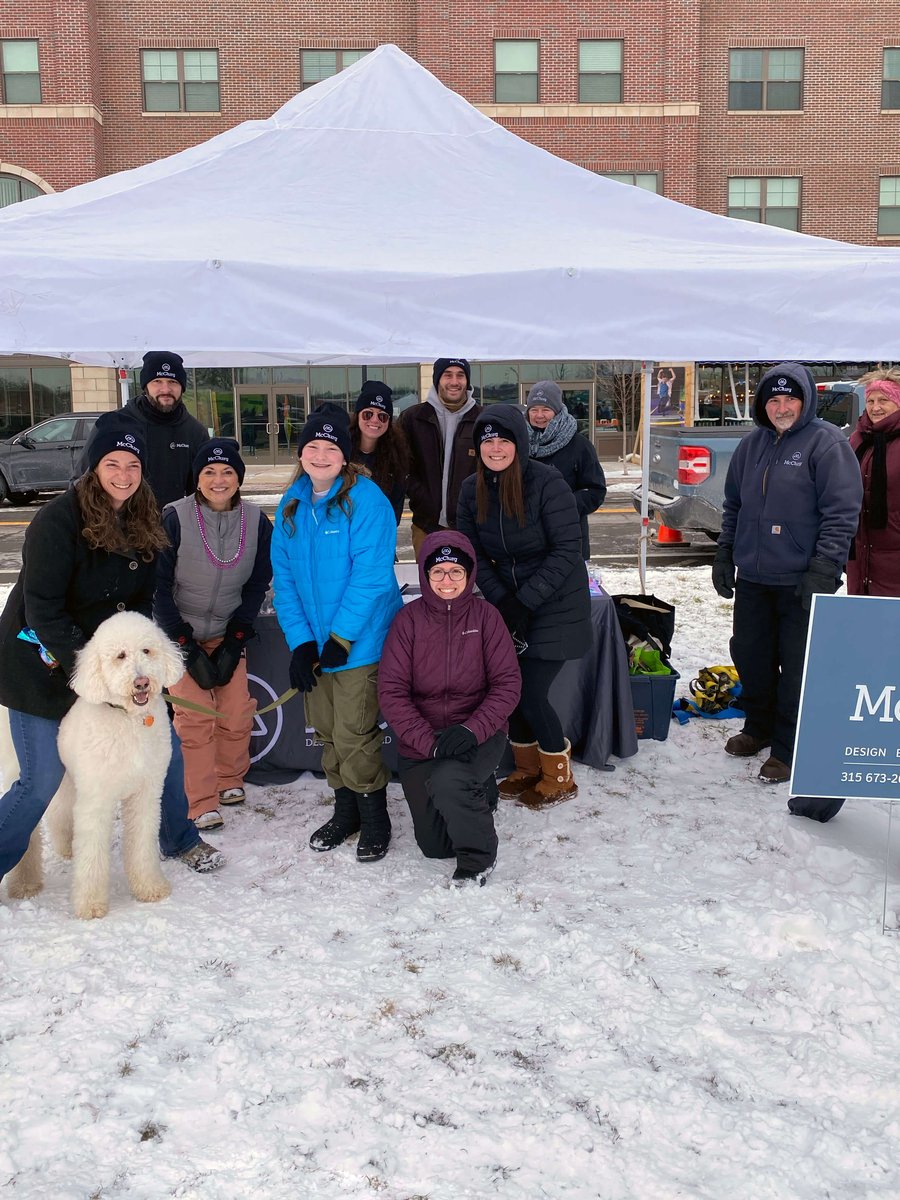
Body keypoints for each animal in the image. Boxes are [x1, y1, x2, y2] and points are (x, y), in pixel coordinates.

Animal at [4, 609, 184, 916]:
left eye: (147, 650)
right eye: (120, 656)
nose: (142, 682)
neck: (128, 719)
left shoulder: (145, 793)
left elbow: (142, 844)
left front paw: (150, 888)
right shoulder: (97, 799)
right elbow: (92, 856)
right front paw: (90, 905)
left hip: (68, 777)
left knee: (59, 809)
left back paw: (66, 847)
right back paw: (24, 883)